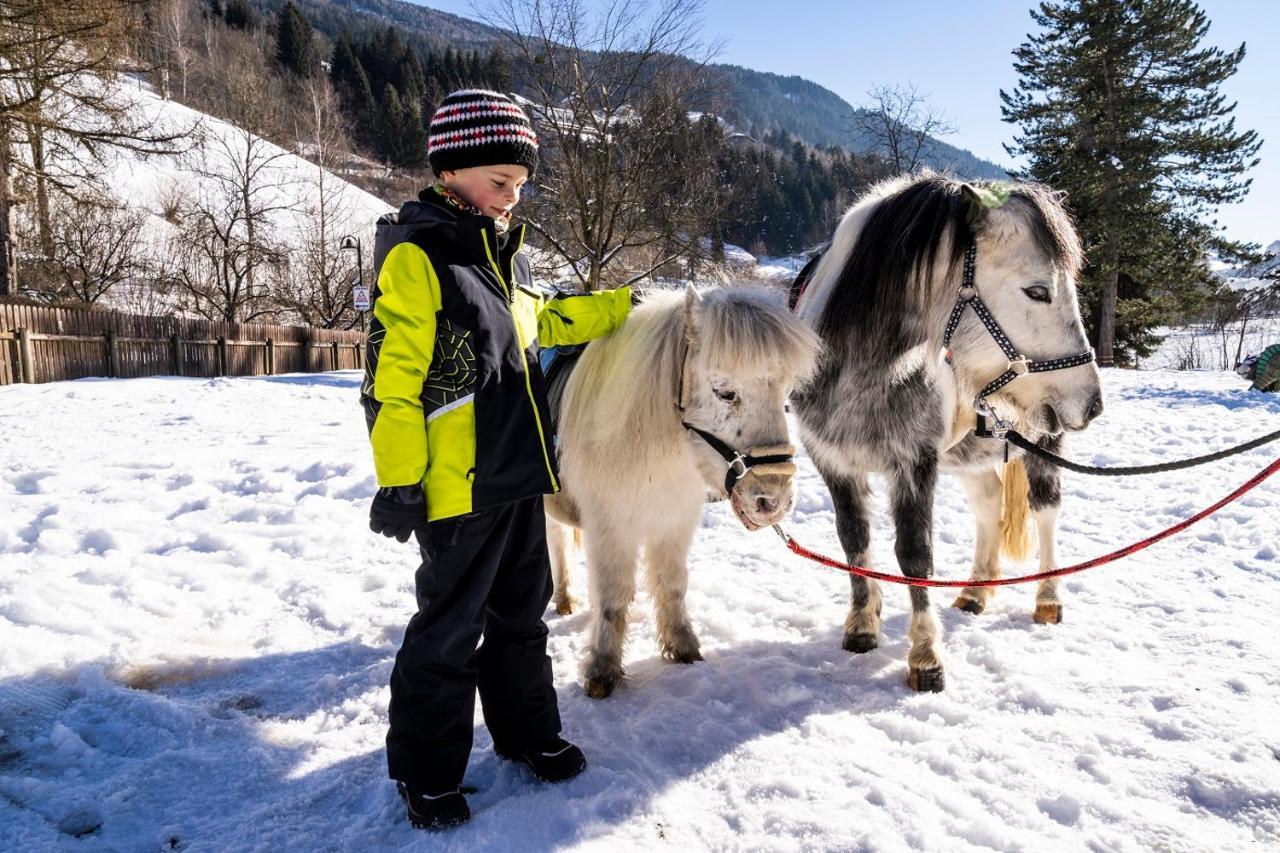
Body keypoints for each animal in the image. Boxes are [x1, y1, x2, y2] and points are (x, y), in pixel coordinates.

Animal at [545, 285, 814, 696]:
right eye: (725, 392)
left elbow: (671, 586)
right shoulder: (611, 528)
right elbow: (613, 597)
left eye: (785, 395)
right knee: (557, 542)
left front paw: (683, 647)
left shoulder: (674, 522)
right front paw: (602, 670)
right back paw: (564, 598)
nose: (773, 502)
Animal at [788, 174, 1100, 691]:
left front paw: (925, 657)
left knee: (1046, 513)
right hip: (971, 453)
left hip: (1043, 445)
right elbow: (853, 539)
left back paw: (1048, 598)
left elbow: (915, 555)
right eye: (1037, 291)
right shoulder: (833, 459)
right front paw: (862, 623)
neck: (864, 369)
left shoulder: (914, 462)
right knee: (989, 503)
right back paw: (976, 591)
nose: (1092, 402)